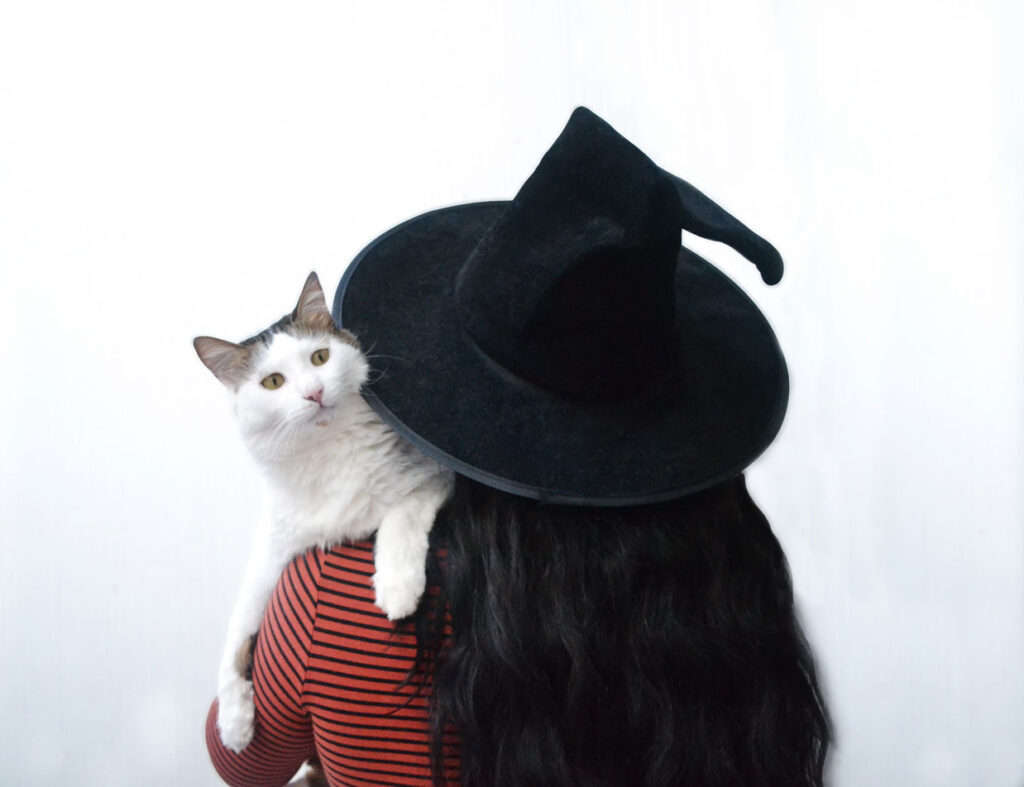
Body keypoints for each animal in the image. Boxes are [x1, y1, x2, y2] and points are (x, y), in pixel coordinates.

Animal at [193, 274, 450, 753]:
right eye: (273, 382)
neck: (328, 453)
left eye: (320, 357)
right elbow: (238, 627)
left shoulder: (433, 476)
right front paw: (234, 722)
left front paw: (397, 589)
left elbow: (400, 517)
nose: (313, 393)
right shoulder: (274, 548)